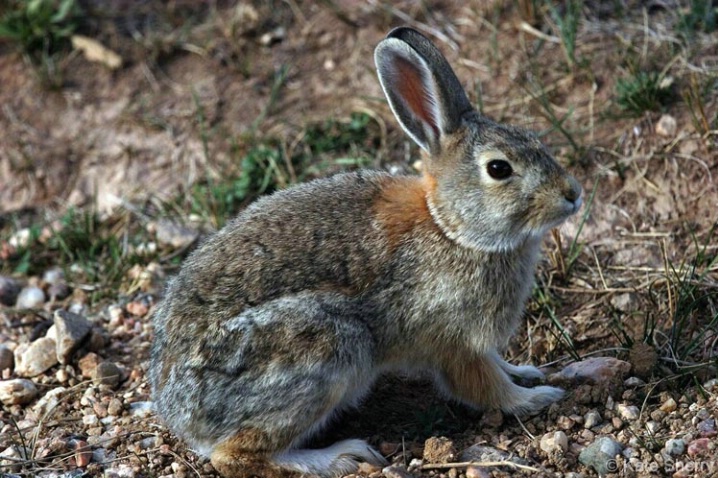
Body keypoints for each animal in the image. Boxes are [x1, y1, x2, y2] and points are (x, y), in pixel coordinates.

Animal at [150, 25, 584, 478]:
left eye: (533, 138)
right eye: (499, 169)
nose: (573, 194)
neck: (452, 229)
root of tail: (180, 416)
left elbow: (500, 367)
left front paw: (527, 372)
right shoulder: (456, 342)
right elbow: (485, 386)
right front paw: (538, 398)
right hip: (329, 346)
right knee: (235, 455)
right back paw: (342, 456)